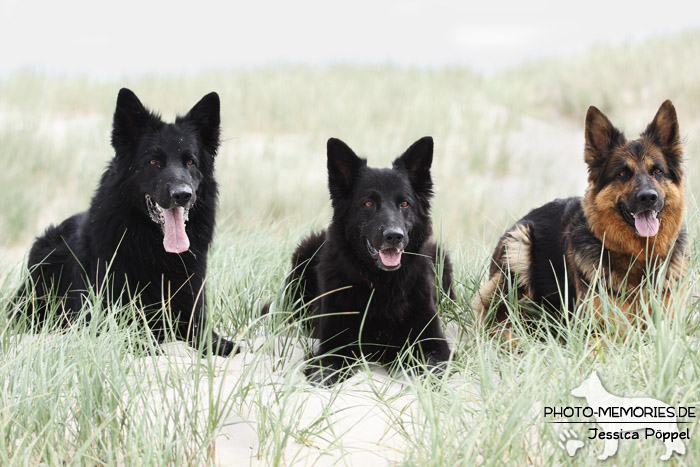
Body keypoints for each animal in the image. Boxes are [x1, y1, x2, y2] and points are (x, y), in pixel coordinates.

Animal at [12, 88, 237, 358]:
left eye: (190, 162)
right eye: (153, 162)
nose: (182, 194)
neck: (154, 251)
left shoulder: (193, 311)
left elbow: (211, 339)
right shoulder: (104, 318)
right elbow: (136, 338)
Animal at [284, 137, 454, 386]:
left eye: (404, 204)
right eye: (368, 204)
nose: (394, 236)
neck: (381, 285)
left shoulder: (432, 342)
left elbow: (433, 369)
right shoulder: (334, 346)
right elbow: (325, 371)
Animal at [474, 100, 688, 334]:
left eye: (657, 171)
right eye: (623, 174)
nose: (648, 197)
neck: (639, 255)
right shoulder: (595, 330)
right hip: (519, 244)